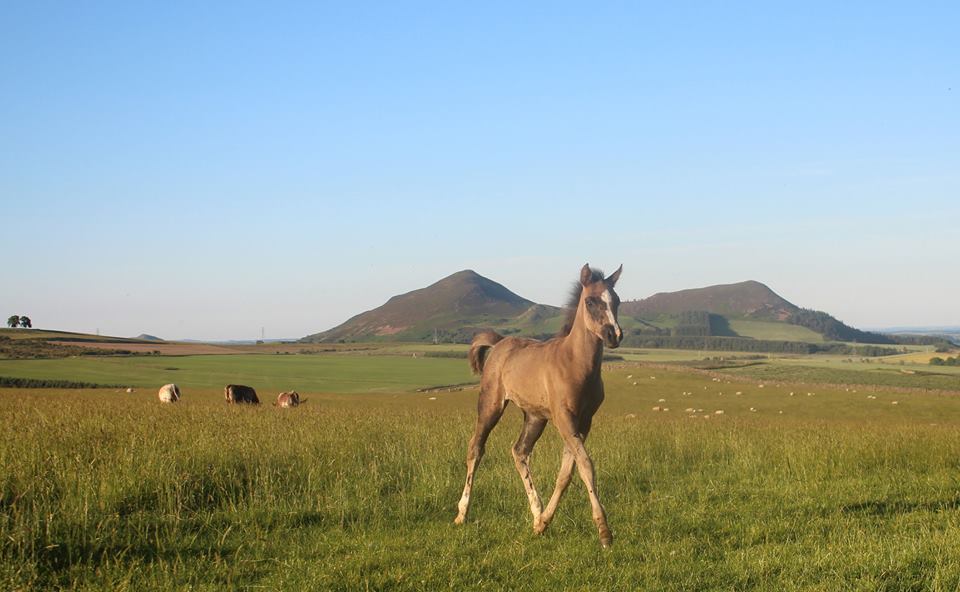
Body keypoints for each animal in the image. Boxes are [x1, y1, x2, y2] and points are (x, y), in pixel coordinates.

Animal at [454, 263, 623, 547]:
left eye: (617, 301)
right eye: (590, 301)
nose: (614, 335)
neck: (575, 364)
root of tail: (500, 342)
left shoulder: (584, 421)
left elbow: (567, 473)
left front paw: (544, 523)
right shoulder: (564, 418)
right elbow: (586, 466)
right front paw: (605, 532)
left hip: (535, 416)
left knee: (519, 451)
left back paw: (536, 514)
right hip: (491, 404)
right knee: (476, 448)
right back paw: (462, 513)